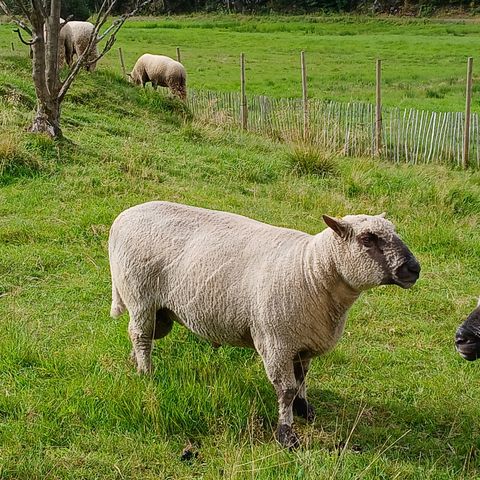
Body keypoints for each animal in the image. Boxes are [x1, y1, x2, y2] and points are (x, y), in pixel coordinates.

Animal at [109, 201, 420, 448]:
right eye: (368, 238)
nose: (414, 269)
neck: (312, 270)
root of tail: (123, 216)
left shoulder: (303, 342)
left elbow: (302, 378)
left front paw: (304, 408)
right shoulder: (276, 342)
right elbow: (286, 389)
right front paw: (286, 434)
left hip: (159, 312)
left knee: (141, 335)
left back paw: (135, 364)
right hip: (140, 296)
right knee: (140, 335)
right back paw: (147, 374)